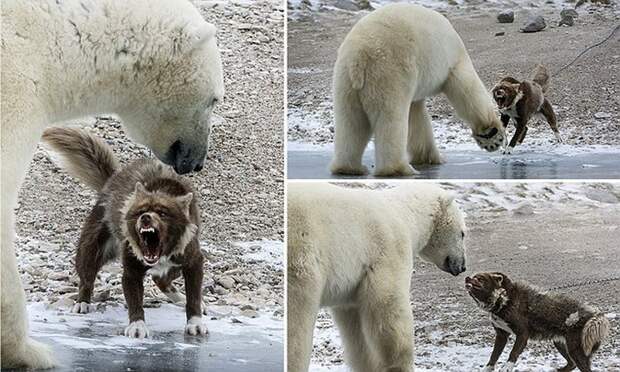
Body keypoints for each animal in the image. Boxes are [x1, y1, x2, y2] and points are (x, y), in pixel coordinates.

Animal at [44, 127, 208, 338]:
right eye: (139, 211)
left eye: (163, 213)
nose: (145, 217)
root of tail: (111, 182)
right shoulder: (132, 269)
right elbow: (135, 300)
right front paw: (137, 326)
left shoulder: (193, 260)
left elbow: (193, 296)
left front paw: (195, 322)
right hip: (92, 248)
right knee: (87, 277)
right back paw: (82, 302)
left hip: (177, 264)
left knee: (161, 278)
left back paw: (179, 297)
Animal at [288, 184, 468, 372]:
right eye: (463, 233)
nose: (462, 266)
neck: (405, 214)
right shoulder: (388, 251)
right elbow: (389, 308)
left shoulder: (352, 283)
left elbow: (357, 330)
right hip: (302, 256)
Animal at [332, 3, 506, 177]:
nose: (493, 146)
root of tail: (359, 57)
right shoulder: (453, 62)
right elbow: (467, 89)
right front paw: (491, 130)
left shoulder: (416, 87)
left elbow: (416, 117)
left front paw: (428, 157)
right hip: (388, 74)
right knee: (391, 118)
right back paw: (399, 169)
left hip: (346, 82)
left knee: (351, 123)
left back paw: (349, 168)